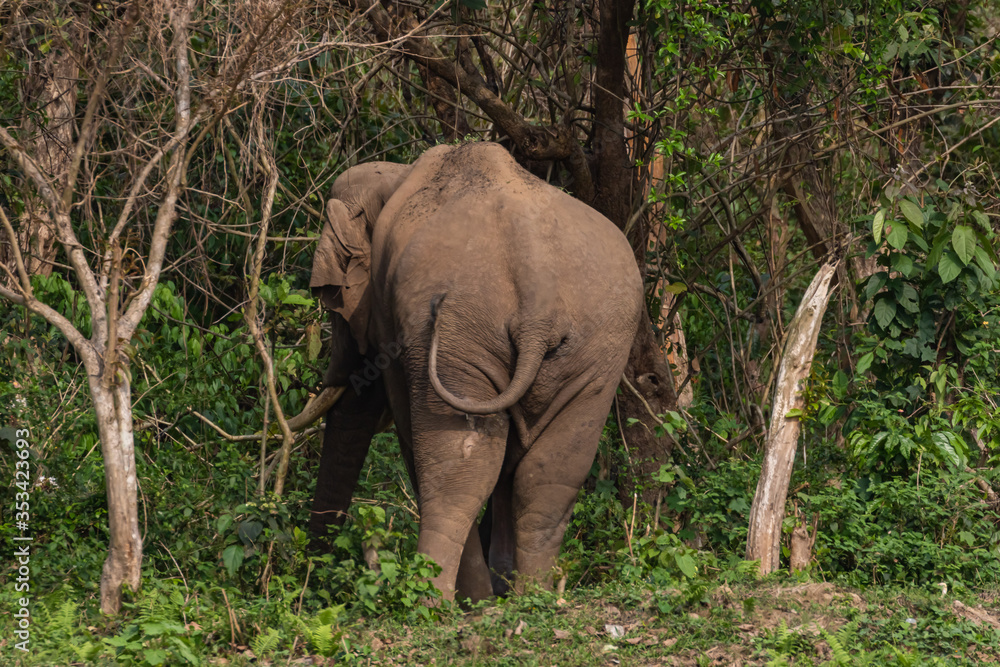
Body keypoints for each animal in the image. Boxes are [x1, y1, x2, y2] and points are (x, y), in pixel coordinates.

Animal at [307, 141, 642, 602]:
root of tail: (538, 301)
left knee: (457, 469)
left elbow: (415, 438)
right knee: (552, 471)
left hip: (460, 335)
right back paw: (532, 598)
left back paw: (437, 601)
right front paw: (497, 590)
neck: (397, 175)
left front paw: (479, 598)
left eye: (331, 299)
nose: (310, 574)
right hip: (599, 346)